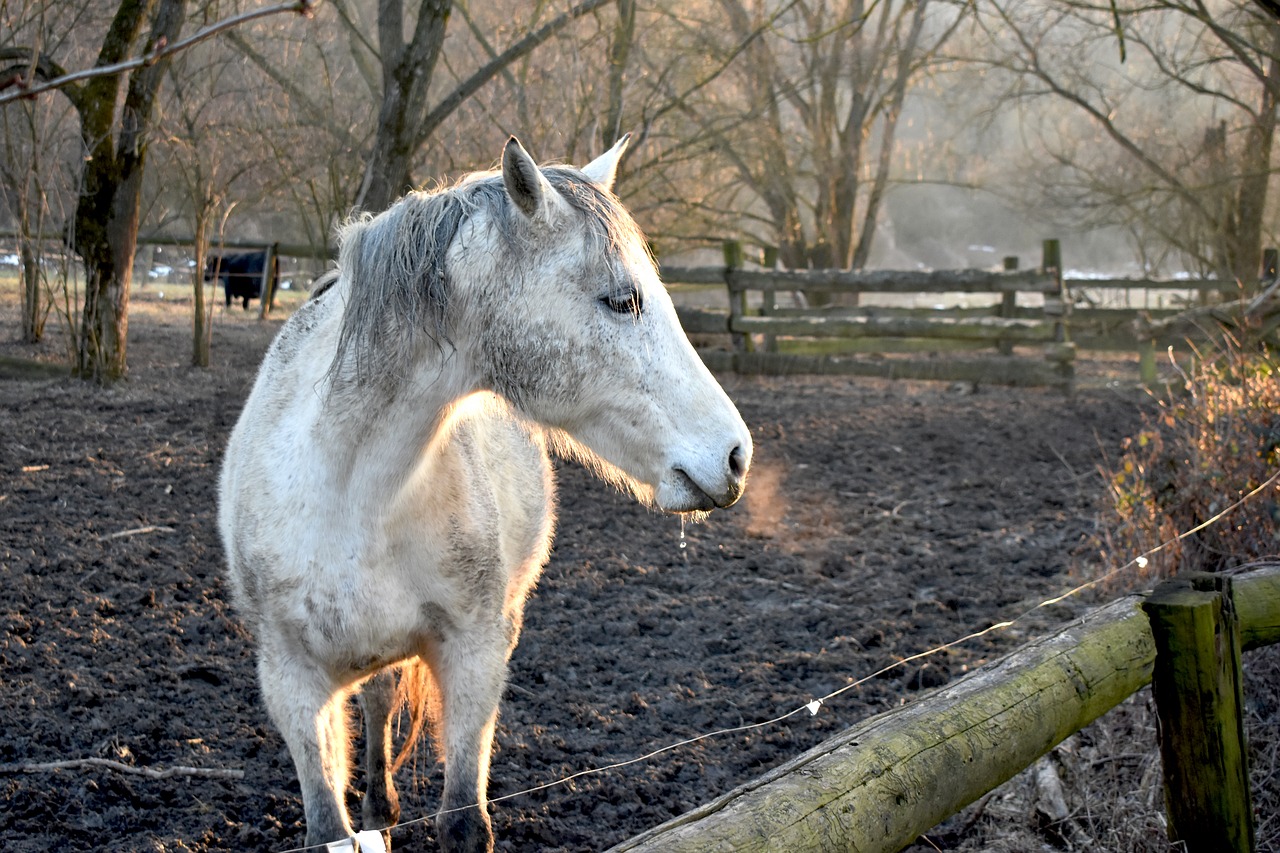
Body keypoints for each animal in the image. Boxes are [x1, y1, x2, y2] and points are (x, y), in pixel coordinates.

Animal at [220, 136, 747, 845]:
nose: (736, 455)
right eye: (623, 300)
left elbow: (466, 820)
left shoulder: (473, 657)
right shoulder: (292, 682)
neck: (347, 492)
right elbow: (326, 824)